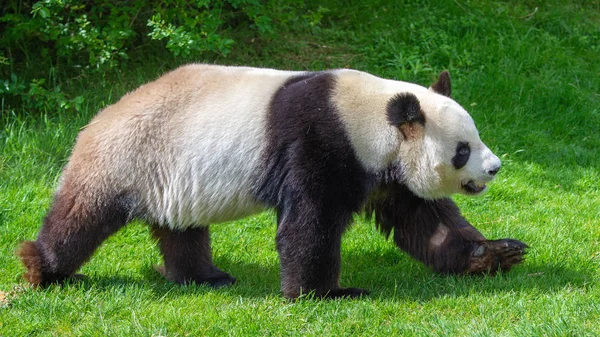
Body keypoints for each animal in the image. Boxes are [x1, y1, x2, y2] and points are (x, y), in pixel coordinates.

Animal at [17, 64, 524, 298]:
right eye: (463, 150)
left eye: (476, 137)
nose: (495, 168)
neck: (369, 116)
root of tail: (95, 119)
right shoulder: (320, 141)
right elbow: (310, 222)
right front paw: (325, 293)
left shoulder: (387, 169)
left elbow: (424, 218)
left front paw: (494, 253)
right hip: (126, 157)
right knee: (81, 217)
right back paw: (42, 267)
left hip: (172, 176)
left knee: (181, 229)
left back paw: (204, 277)